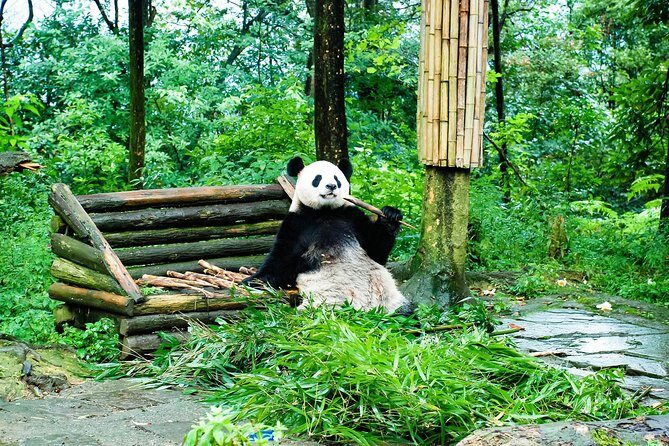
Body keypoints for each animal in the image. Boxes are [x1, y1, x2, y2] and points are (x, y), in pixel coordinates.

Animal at [243, 156, 408, 313]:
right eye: (317, 178)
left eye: (337, 179)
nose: (331, 186)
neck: (325, 211)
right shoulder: (297, 223)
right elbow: (282, 260)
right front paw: (252, 280)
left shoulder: (351, 217)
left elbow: (376, 250)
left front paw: (390, 215)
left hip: (389, 297)